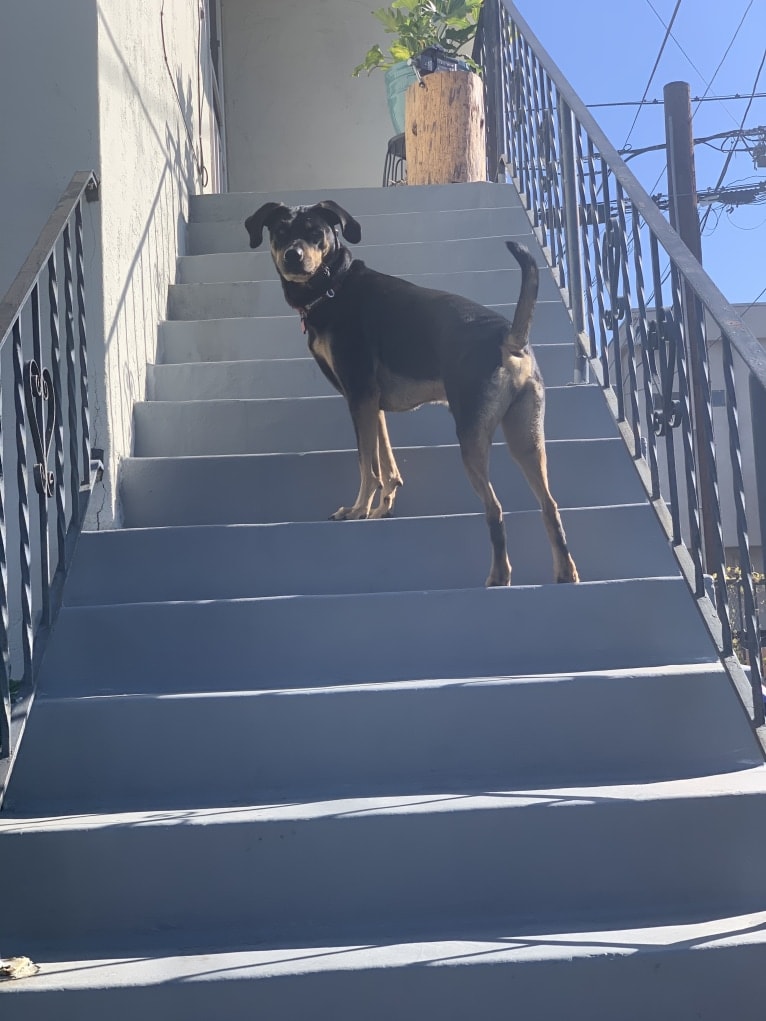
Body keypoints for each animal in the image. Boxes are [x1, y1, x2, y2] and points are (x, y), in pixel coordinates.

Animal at [247, 198, 580, 588]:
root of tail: (508, 339)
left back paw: (499, 576)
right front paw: (381, 507)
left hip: (471, 437)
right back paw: (566, 573)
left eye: (316, 232)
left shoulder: (358, 394)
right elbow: (385, 459)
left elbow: (366, 463)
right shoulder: (372, 403)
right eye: (280, 231)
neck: (334, 286)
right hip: (526, 437)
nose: (293, 256)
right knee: (549, 505)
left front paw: (358, 510)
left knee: (494, 508)